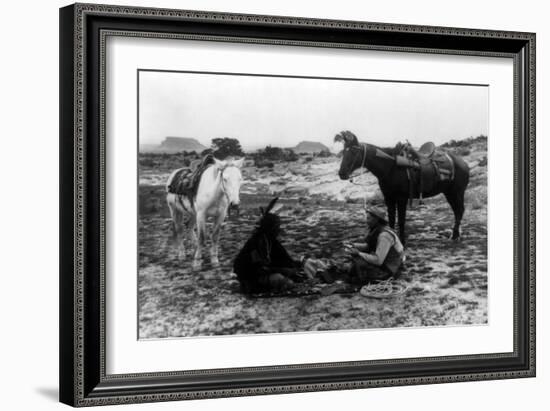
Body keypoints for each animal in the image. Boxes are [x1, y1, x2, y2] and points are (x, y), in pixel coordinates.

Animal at [334, 131, 472, 241]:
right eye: (344, 152)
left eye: (353, 151)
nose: (342, 173)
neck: (391, 167)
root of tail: (463, 163)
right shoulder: (389, 198)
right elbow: (391, 219)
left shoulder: (402, 198)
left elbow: (400, 220)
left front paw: (402, 241)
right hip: (449, 193)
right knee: (457, 211)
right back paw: (455, 235)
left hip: (457, 192)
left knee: (459, 211)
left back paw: (455, 236)